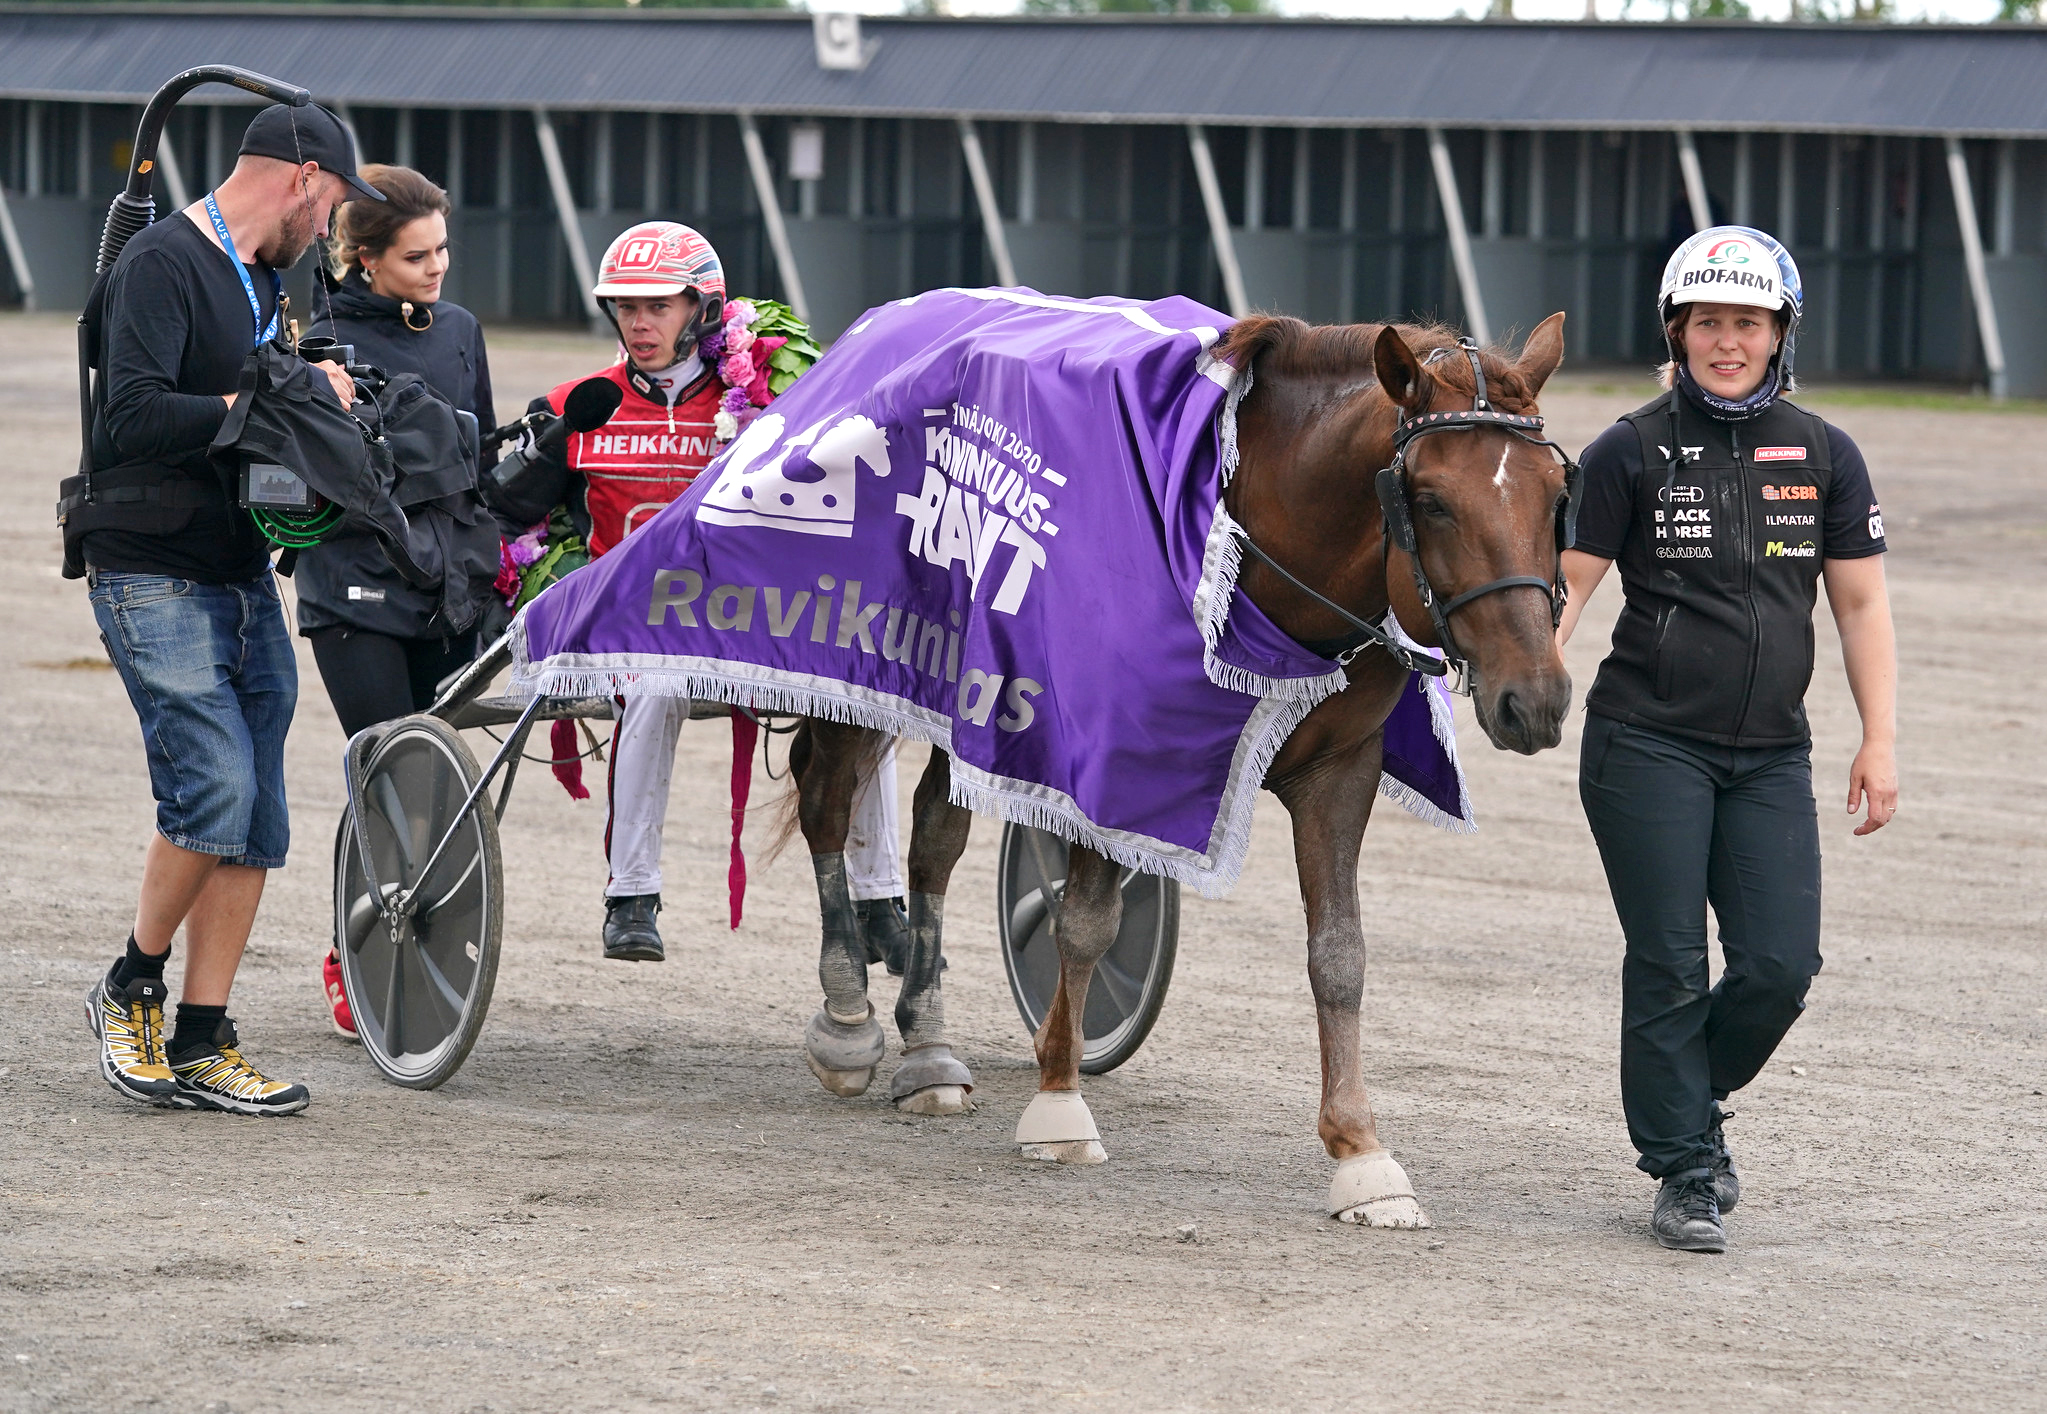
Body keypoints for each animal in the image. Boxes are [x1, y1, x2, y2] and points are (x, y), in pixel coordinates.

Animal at [790, 313, 1572, 1227]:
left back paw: (928, 1048)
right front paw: (1059, 1102)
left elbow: (1338, 954)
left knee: (935, 836)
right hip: (864, 660)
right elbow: (1084, 921)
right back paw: (847, 1019)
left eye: (1556, 495)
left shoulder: (1340, 770)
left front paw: (1361, 1153)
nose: (1537, 698)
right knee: (825, 803)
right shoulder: (1107, 760)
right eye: (1434, 500)